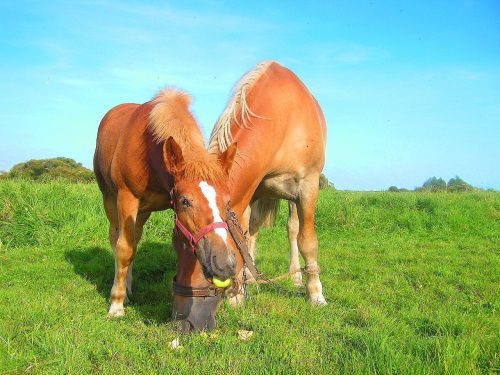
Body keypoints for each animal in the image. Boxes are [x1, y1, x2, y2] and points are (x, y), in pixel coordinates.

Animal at [93, 89, 238, 332]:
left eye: (228, 202)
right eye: (185, 201)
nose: (225, 264)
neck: (148, 152)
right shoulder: (126, 198)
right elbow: (123, 249)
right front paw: (116, 305)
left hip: (142, 212)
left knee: (135, 240)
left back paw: (129, 288)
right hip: (111, 200)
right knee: (118, 239)